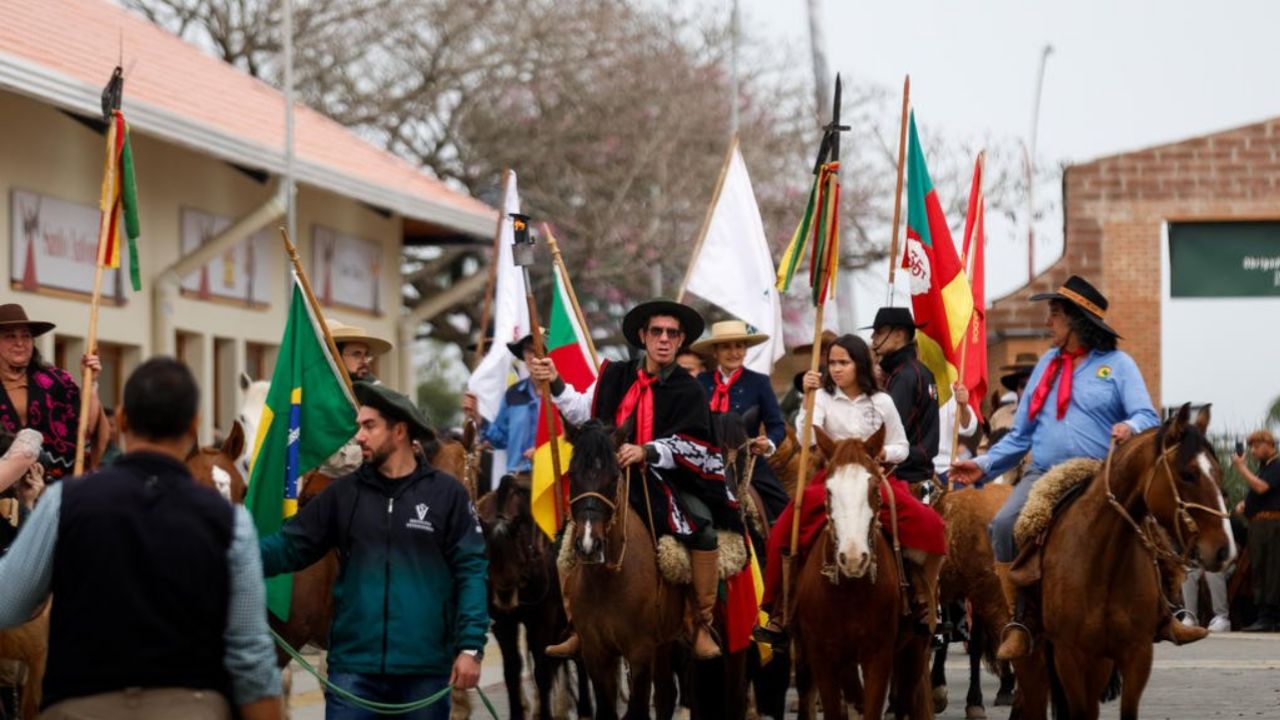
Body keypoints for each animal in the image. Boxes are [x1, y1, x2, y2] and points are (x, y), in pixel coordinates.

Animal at [476, 471, 593, 717]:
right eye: (487, 554)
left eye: (515, 551)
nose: (504, 597)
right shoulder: (504, 623)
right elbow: (512, 670)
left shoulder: (543, 620)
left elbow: (542, 671)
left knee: (580, 658)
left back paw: (584, 708)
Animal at [563, 417, 686, 717]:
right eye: (572, 475)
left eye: (613, 476)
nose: (588, 544)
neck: (607, 582)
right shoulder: (596, 654)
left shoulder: (640, 653)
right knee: (666, 695)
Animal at [788, 425, 931, 717]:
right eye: (829, 491)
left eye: (875, 488)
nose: (853, 559)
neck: (849, 593)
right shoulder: (823, 655)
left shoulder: (878, 655)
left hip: (913, 648)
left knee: (906, 701)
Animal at [1029, 404, 1228, 717]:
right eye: (1188, 474)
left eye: (1218, 473)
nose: (1222, 550)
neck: (1101, 565)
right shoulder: (1070, 655)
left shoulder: (1137, 653)